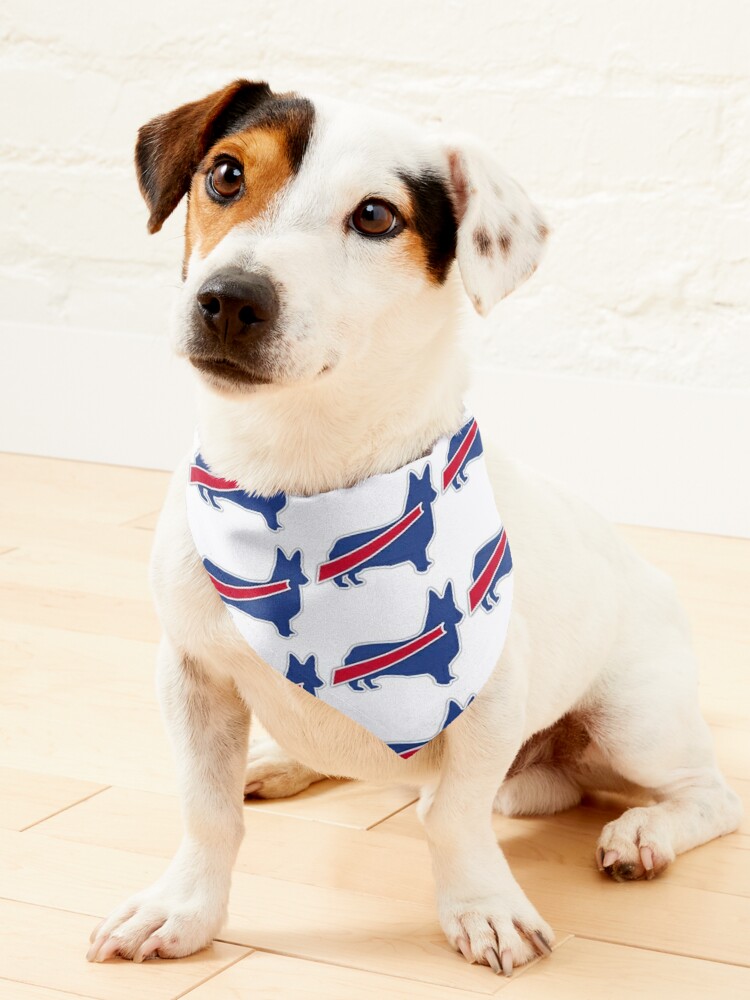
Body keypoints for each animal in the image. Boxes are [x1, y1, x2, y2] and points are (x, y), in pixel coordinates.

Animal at [85, 80, 744, 976]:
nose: (229, 299)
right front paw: (183, 909)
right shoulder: (192, 677)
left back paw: (644, 833)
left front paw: (483, 907)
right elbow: (207, 811)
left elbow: (453, 816)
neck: (300, 468)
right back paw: (283, 761)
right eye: (225, 174)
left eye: (375, 216)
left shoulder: (488, 699)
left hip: (634, 719)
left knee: (708, 796)